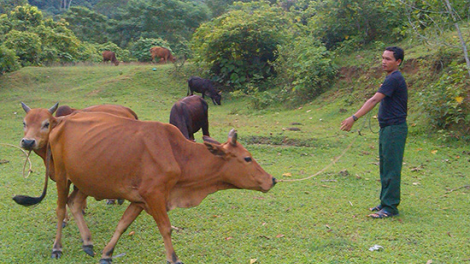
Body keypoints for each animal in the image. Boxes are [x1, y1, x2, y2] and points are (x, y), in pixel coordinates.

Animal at [23, 111, 276, 262]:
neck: (177, 154)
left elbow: (122, 225)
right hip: (62, 176)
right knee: (60, 210)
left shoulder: (139, 199)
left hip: (86, 179)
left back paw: (87, 241)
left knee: (74, 203)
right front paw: (174, 258)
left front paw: (107, 253)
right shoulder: (154, 196)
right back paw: (57, 247)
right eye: (247, 158)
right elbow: (166, 228)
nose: (272, 179)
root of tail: (60, 120)